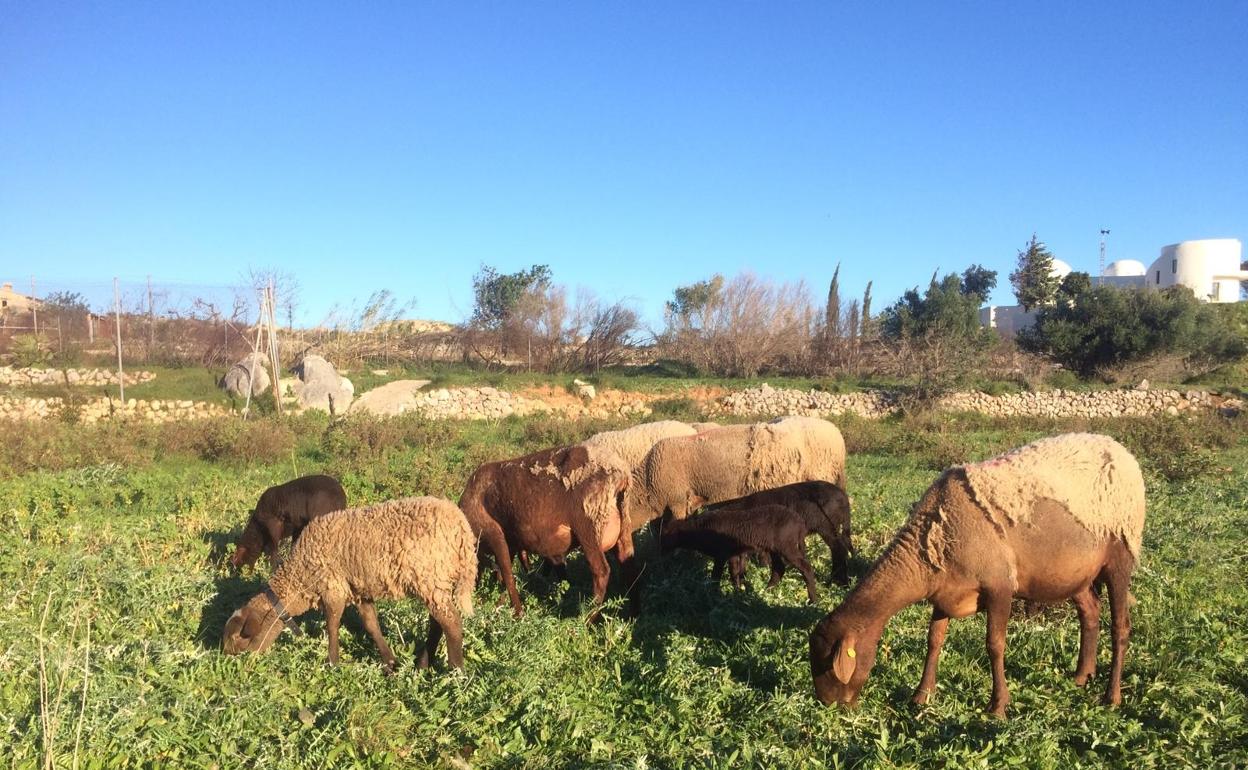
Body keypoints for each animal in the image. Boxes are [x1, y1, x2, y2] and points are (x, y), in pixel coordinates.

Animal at [222, 499, 474, 668]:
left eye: (240, 638)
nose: (232, 662)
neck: (299, 578)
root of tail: (462, 528)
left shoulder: (332, 587)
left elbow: (332, 626)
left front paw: (333, 662)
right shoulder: (359, 590)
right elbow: (371, 625)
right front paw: (390, 662)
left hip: (428, 577)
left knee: (452, 623)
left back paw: (456, 671)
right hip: (436, 582)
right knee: (438, 623)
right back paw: (423, 665)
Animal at [808, 431, 1148, 713]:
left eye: (827, 666)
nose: (829, 704)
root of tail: (1122, 451)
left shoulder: (999, 587)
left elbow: (995, 645)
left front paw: (998, 706)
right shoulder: (944, 592)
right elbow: (934, 640)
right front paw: (921, 695)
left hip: (1119, 555)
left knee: (1121, 627)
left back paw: (1111, 696)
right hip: (1076, 573)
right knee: (1090, 614)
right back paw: (1081, 676)